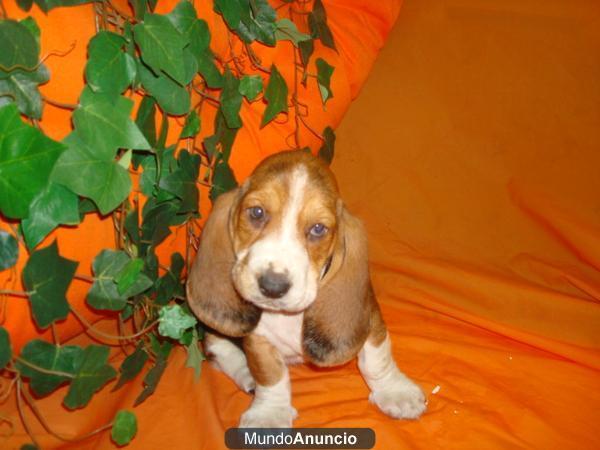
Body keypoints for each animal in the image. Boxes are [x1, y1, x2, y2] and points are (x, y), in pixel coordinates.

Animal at [188, 150, 426, 426]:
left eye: (318, 229)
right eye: (256, 212)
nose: (272, 286)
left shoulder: (372, 319)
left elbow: (377, 358)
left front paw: (395, 392)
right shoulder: (258, 339)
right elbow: (271, 375)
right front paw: (269, 414)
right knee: (217, 347)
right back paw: (246, 374)